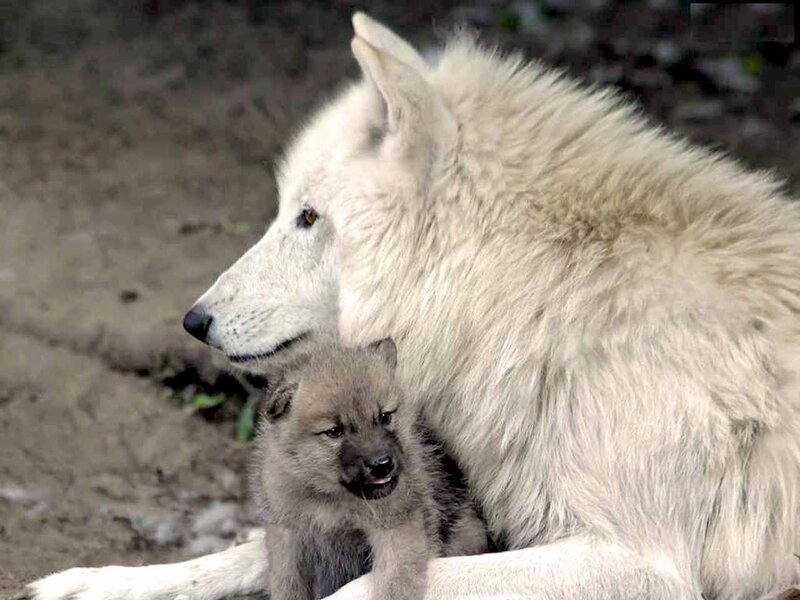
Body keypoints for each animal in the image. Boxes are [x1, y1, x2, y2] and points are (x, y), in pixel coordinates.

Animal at [252, 339, 488, 600]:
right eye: (334, 432)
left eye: (384, 416)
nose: (382, 465)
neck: (330, 500)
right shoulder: (287, 537)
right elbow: (287, 584)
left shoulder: (396, 530)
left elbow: (396, 585)